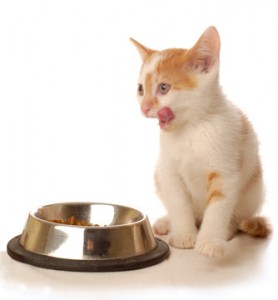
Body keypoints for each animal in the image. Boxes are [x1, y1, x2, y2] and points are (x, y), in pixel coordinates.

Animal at [131, 26, 270, 258]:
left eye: (163, 88)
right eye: (140, 89)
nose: (144, 108)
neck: (191, 128)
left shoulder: (225, 171)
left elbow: (218, 207)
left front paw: (210, 241)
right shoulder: (168, 170)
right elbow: (178, 203)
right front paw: (184, 234)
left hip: (253, 192)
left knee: (236, 216)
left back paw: (227, 230)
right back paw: (167, 222)